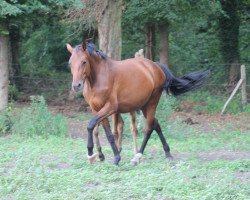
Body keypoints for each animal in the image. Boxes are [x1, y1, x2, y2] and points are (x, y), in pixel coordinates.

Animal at [66, 39, 209, 166]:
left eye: (84, 61)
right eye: (70, 63)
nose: (76, 86)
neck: (99, 78)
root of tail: (155, 66)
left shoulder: (110, 107)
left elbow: (91, 125)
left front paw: (93, 154)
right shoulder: (97, 109)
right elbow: (107, 133)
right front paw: (110, 156)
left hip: (152, 103)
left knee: (148, 128)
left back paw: (137, 157)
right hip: (144, 106)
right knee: (156, 124)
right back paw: (167, 153)